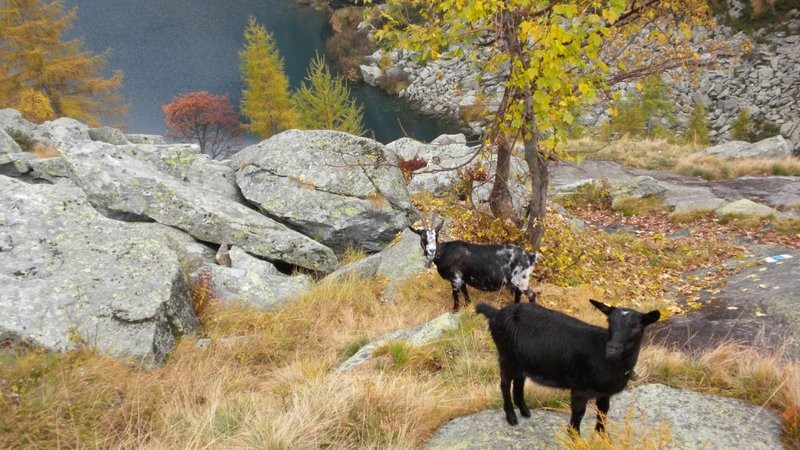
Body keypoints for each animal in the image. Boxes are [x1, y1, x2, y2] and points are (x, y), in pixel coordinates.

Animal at [410, 220, 540, 312]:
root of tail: (530, 256)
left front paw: (455, 310)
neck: (444, 252)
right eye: (423, 237)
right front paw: (468, 305)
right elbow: (465, 292)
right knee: (519, 293)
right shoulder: (462, 279)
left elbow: (455, 295)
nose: (431, 251)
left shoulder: (455, 278)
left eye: (436, 236)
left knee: (532, 295)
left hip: (521, 280)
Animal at [478, 300, 660, 434]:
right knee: (504, 384)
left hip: (521, 360)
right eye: (609, 321)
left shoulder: (604, 394)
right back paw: (511, 416)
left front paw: (602, 438)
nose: (612, 349)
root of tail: (496, 313)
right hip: (505, 356)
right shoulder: (580, 389)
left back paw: (524, 410)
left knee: (519, 381)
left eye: (636, 327)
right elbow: (577, 416)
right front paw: (575, 439)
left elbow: (603, 414)